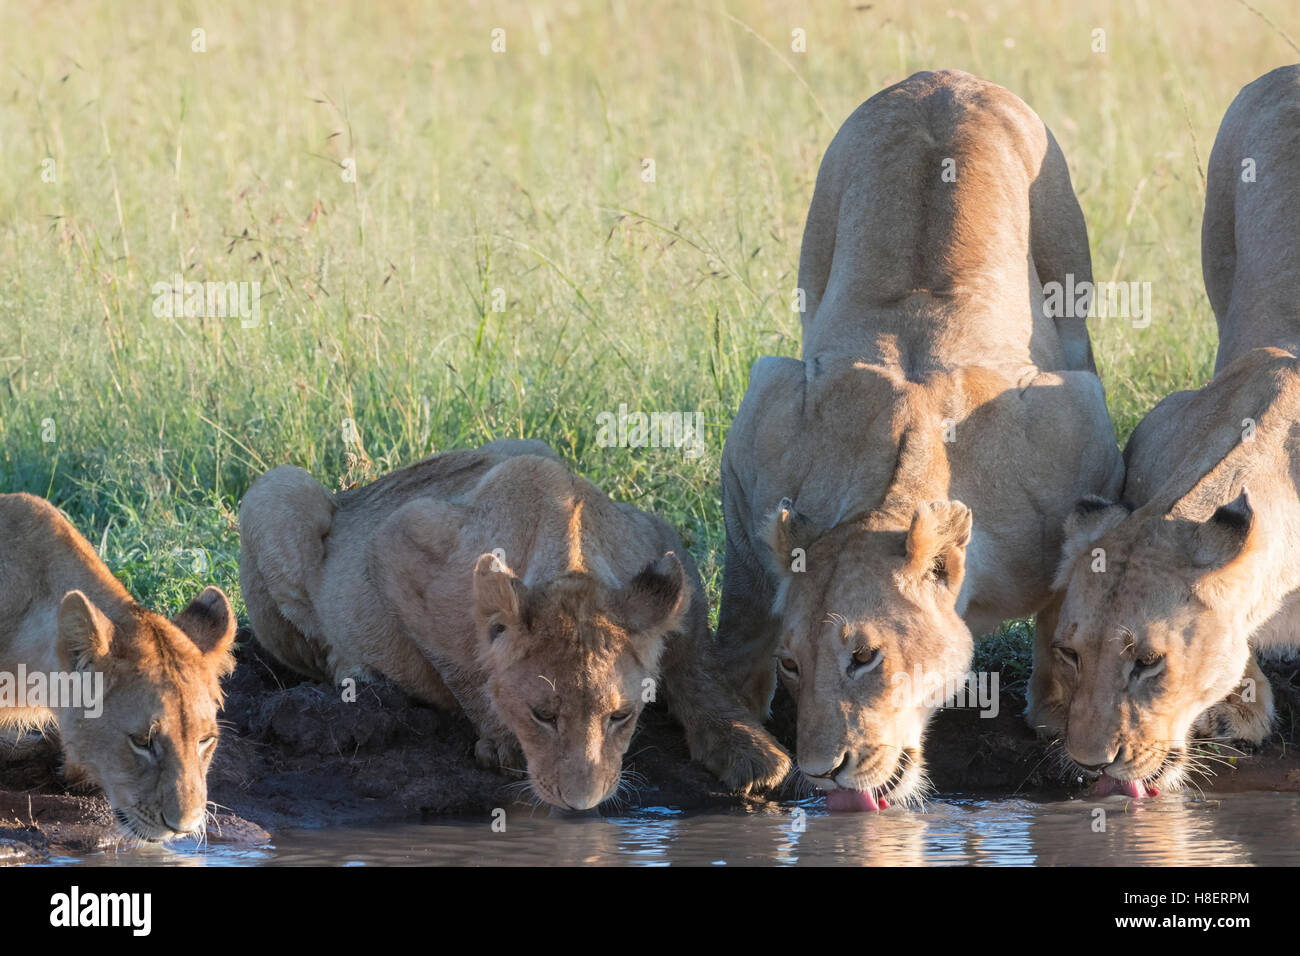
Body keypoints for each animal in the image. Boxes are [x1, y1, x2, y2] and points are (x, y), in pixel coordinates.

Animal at [239, 439, 790, 811]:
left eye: (621, 716)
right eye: (541, 715)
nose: (581, 804)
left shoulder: (664, 545)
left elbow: (699, 667)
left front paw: (751, 750)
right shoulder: (401, 538)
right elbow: (462, 660)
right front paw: (500, 736)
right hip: (278, 489)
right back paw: (359, 674)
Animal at [716, 70, 1124, 810]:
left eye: (864, 656)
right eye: (791, 663)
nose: (823, 769)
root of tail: (943, 78)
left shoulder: (1083, 428)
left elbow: (1068, 597)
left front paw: (1056, 710)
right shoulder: (764, 426)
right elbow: (741, 610)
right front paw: (740, 732)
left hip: (1070, 285)